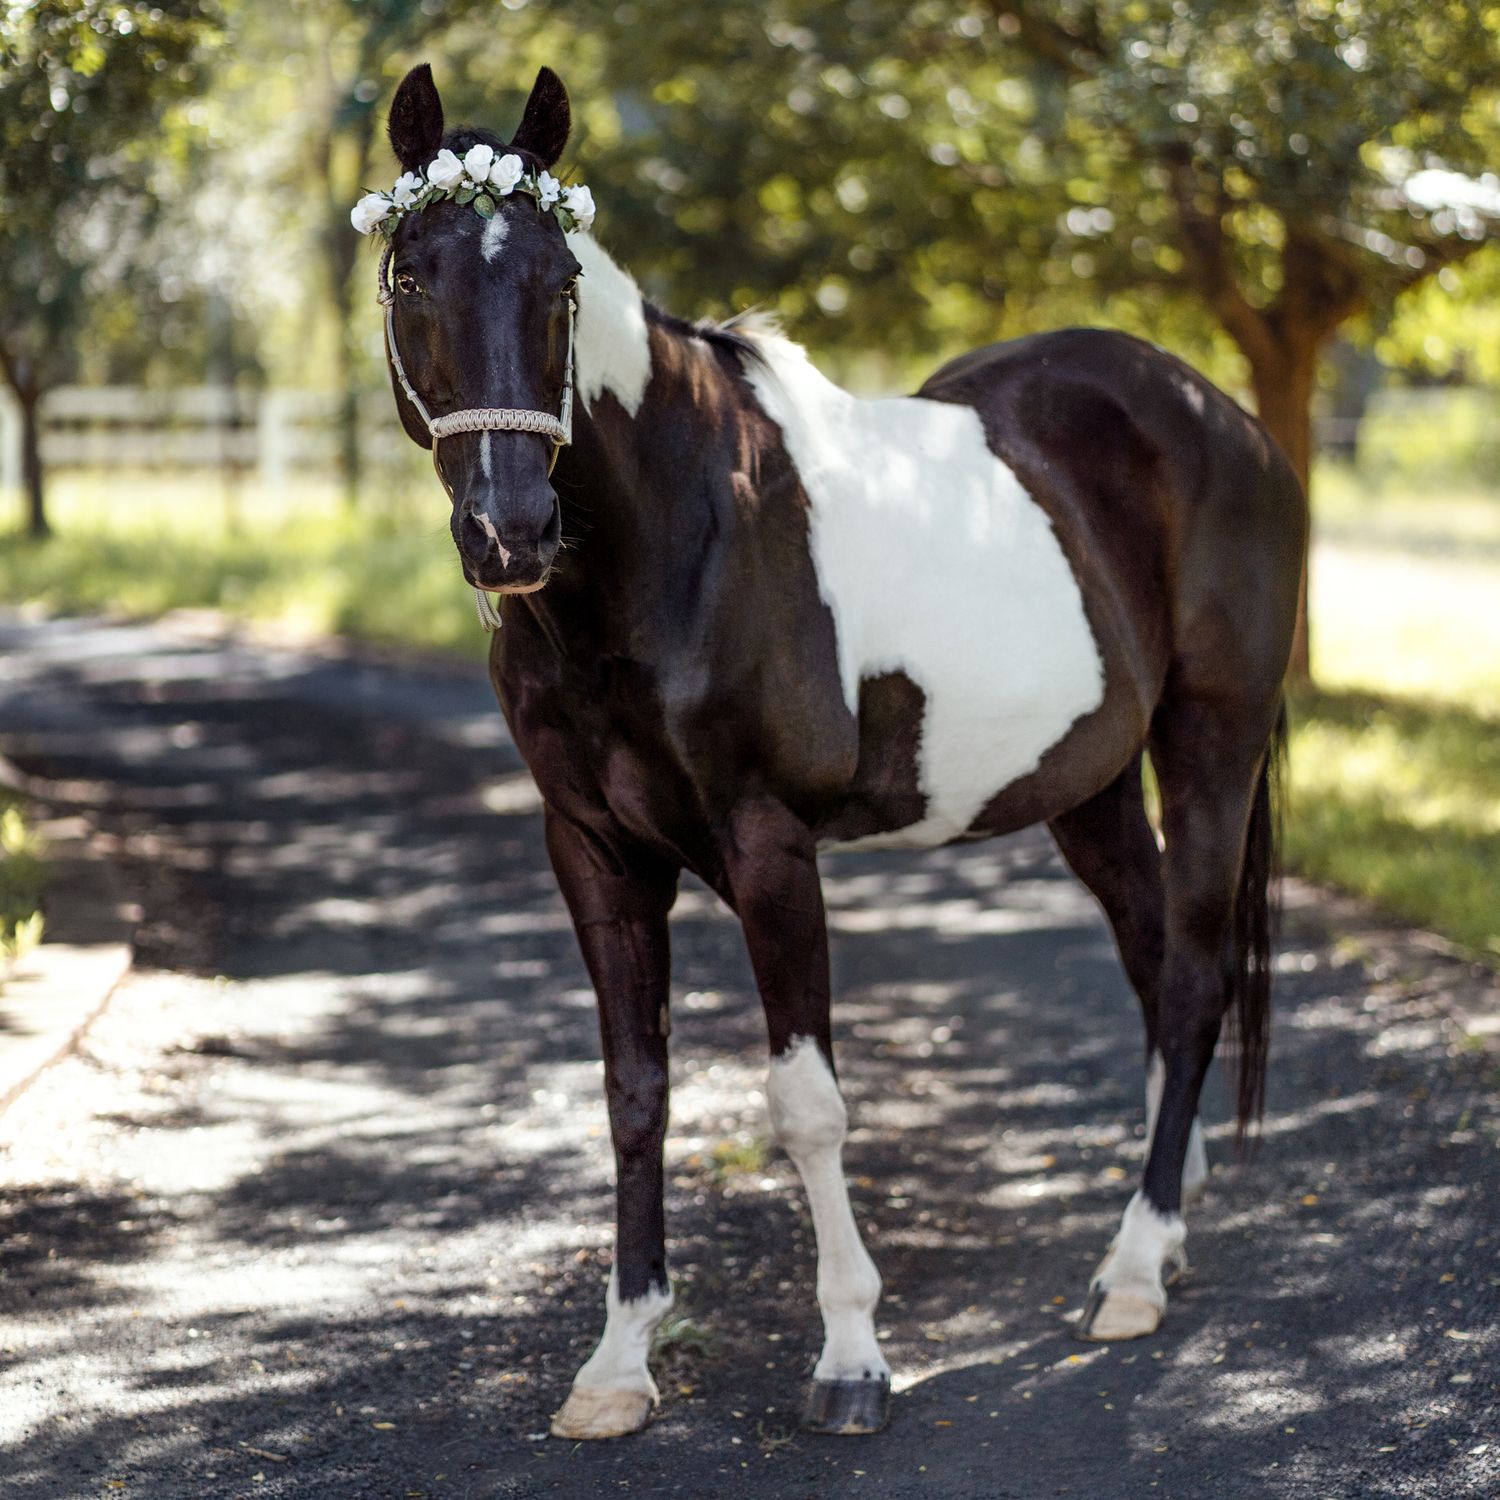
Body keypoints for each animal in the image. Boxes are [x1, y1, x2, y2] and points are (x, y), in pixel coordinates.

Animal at [371, 61, 1306, 1440]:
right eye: (411, 279)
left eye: (562, 284)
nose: (512, 531)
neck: (676, 540)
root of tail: (1222, 417)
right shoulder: (591, 852)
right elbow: (634, 1092)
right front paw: (619, 1363)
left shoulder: (770, 850)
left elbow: (806, 1107)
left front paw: (853, 1359)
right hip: (1085, 785)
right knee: (1152, 964)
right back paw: (1164, 1223)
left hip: (1211, 746)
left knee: (1193, 978)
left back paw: (1136, 1269)